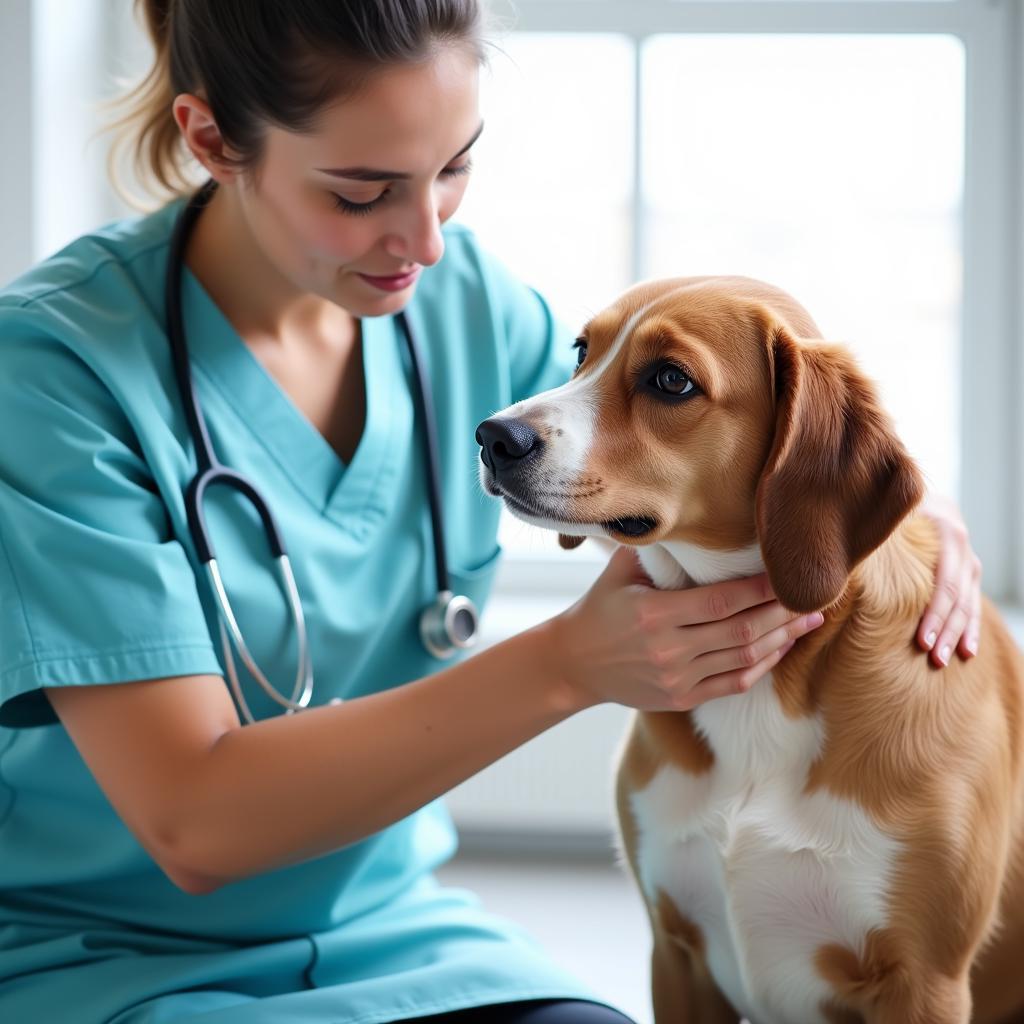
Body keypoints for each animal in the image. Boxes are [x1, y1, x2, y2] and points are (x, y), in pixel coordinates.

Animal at [477, 278, 1024, 1024]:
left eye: (671, 380)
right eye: (581, 352)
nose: (492, 436)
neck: (767, 693)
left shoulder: (924, 983)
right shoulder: (676, 958)